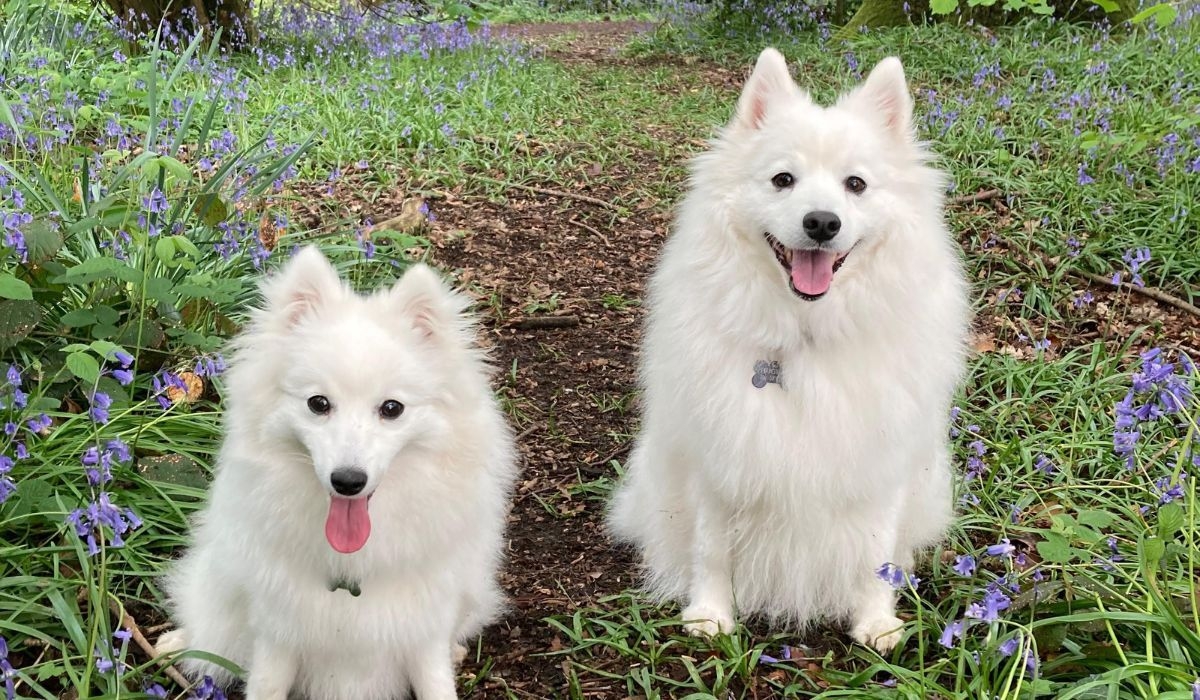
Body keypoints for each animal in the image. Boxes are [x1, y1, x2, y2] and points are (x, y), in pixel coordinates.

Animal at [159, 249, 516, 696]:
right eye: (318, 403)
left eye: (392, 408)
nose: (348, 481)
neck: (352, 567)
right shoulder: (278, 630)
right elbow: (266, 685)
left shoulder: (423, 626)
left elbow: (437, 684)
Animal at [614, 48, 969, 653]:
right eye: (783, 179)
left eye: (856, 184)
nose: (822, 222)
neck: (805, 333)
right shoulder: (719, 457)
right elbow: (712, 549)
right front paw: (710, 615)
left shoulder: (880, 464)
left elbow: (875, 554)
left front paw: (876, 622)